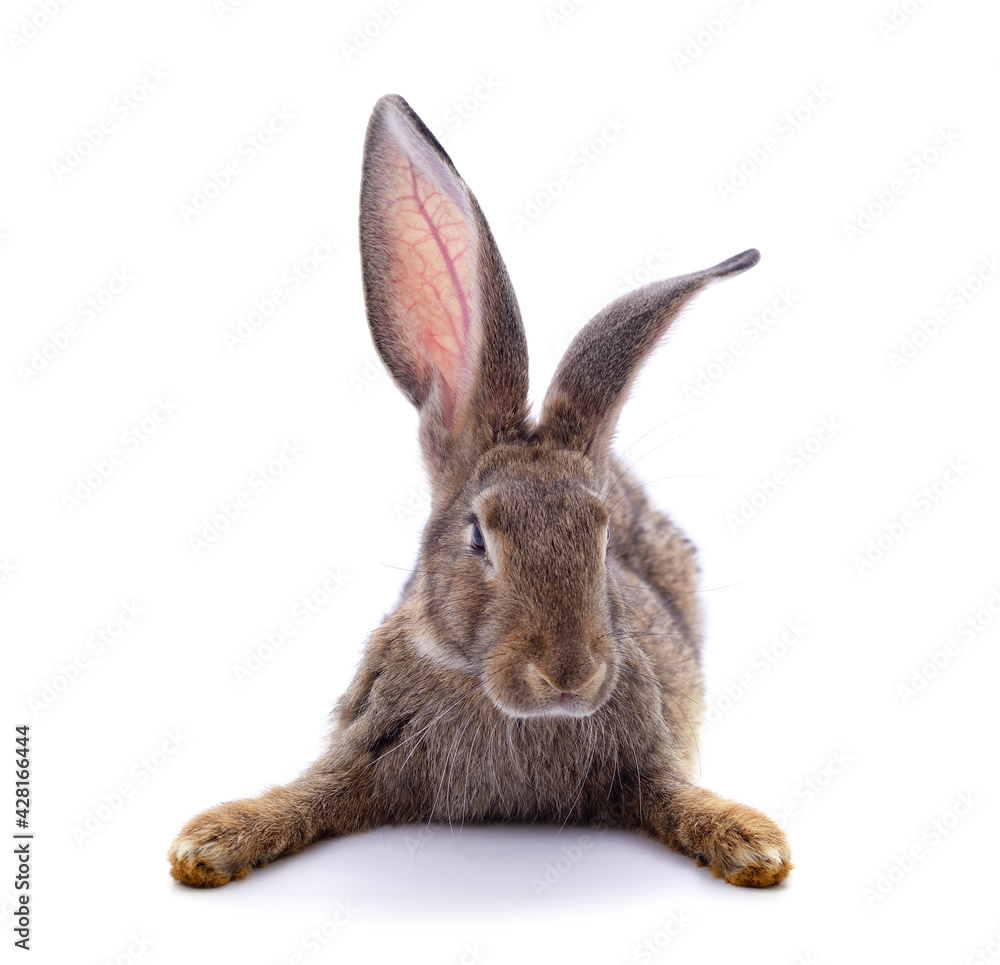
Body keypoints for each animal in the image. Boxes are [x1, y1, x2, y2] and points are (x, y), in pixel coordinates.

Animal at [168, 94, 791, 889]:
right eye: (477, 536)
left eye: (603, 537)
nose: (568, 673)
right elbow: (310, 793)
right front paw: (213, 841)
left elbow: (676, 795)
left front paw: (753, 843)